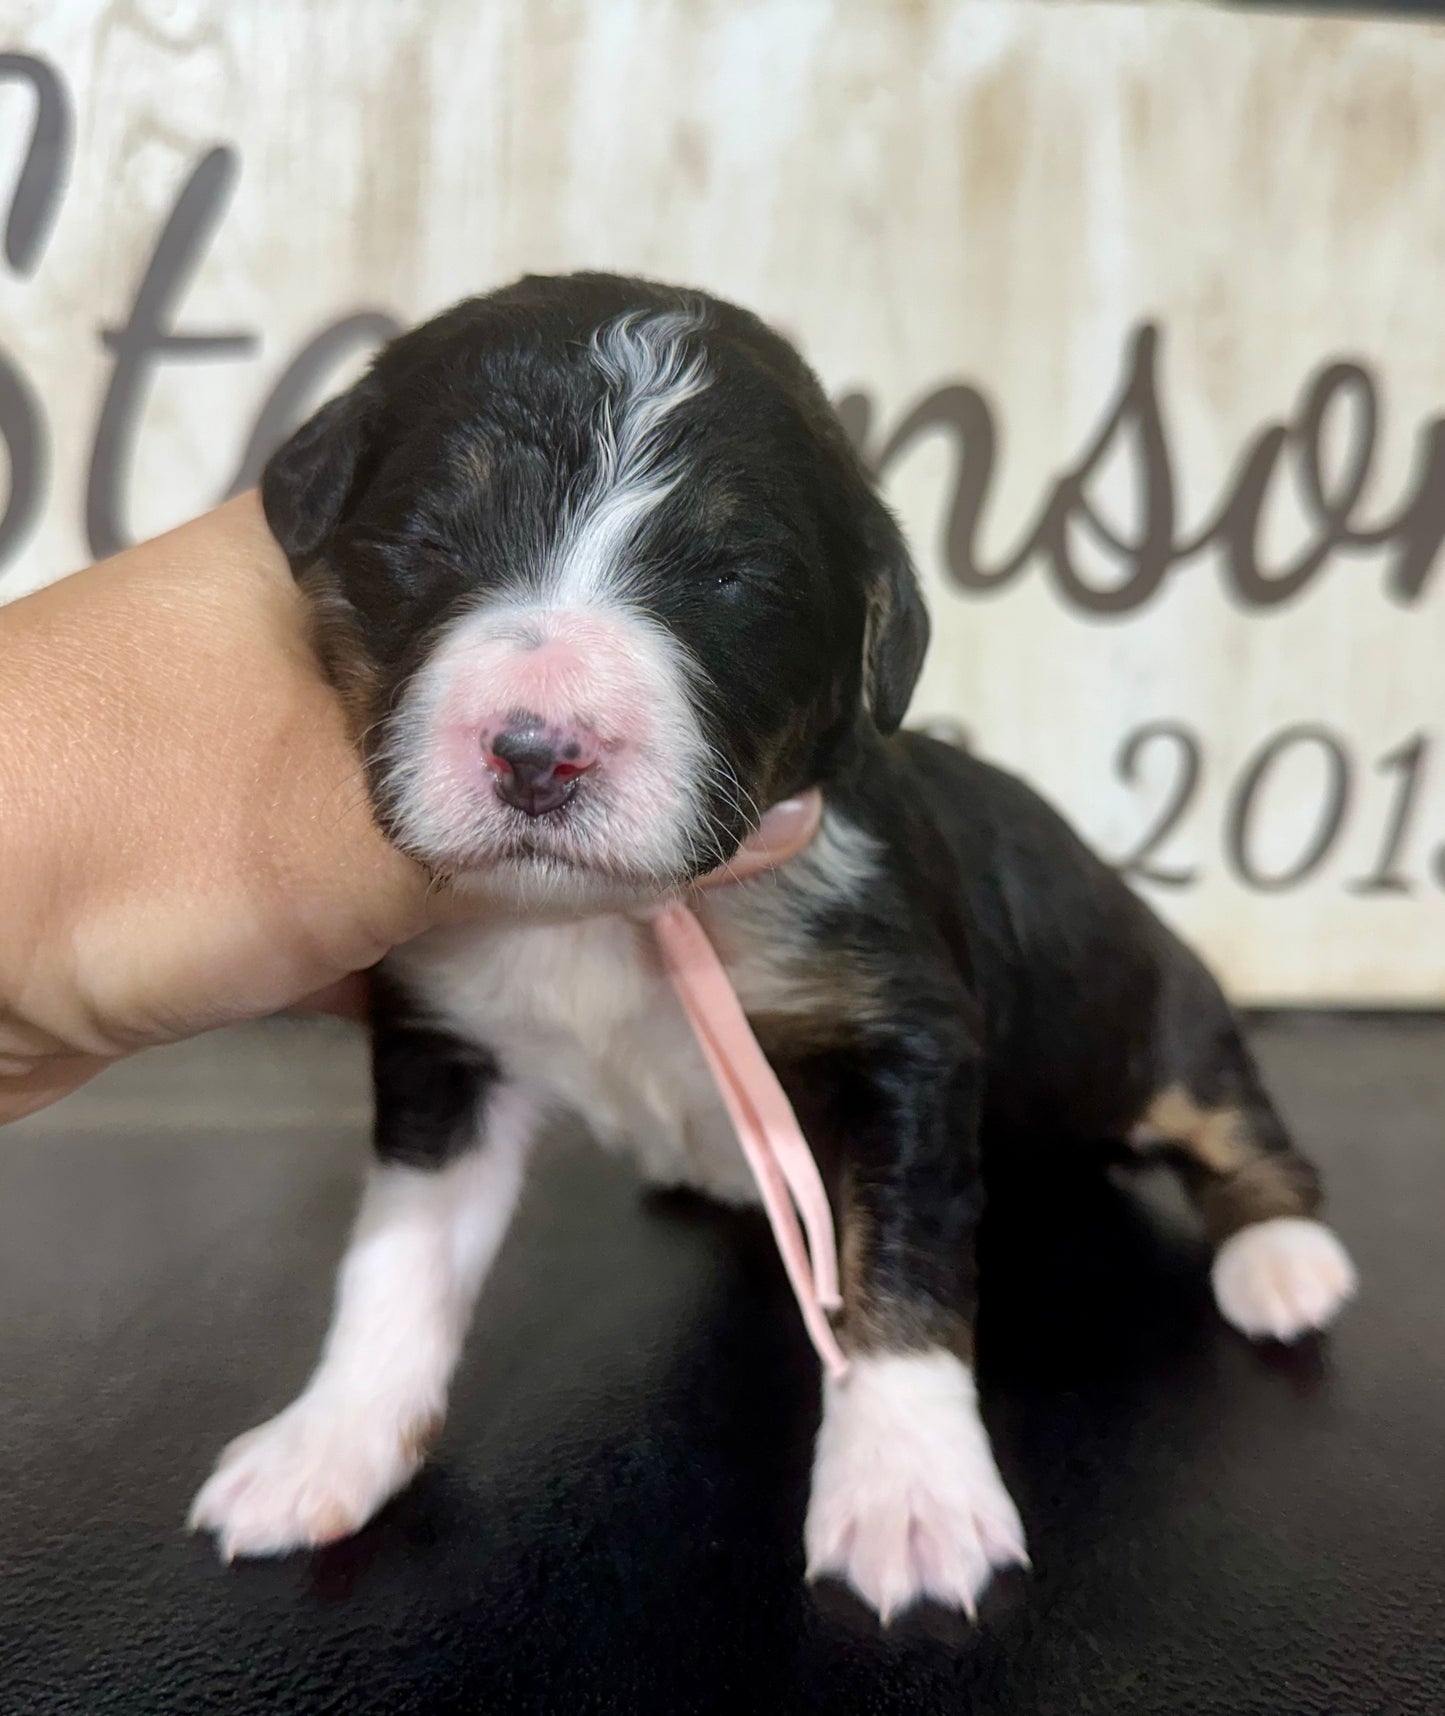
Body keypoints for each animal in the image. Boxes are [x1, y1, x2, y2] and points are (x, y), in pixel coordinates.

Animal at [188, 271, 1352, 1619]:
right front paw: (326, 1444)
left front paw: (906, 1495)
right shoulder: (442, 1049)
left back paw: (1283, 1262)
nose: (536, 752)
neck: (632, 914)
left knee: (1234, 1125)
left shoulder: (902, 1043)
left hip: (1159, 1010)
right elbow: (394, 1262)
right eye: (426, 541)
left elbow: (898, 1274)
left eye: (733, 580)